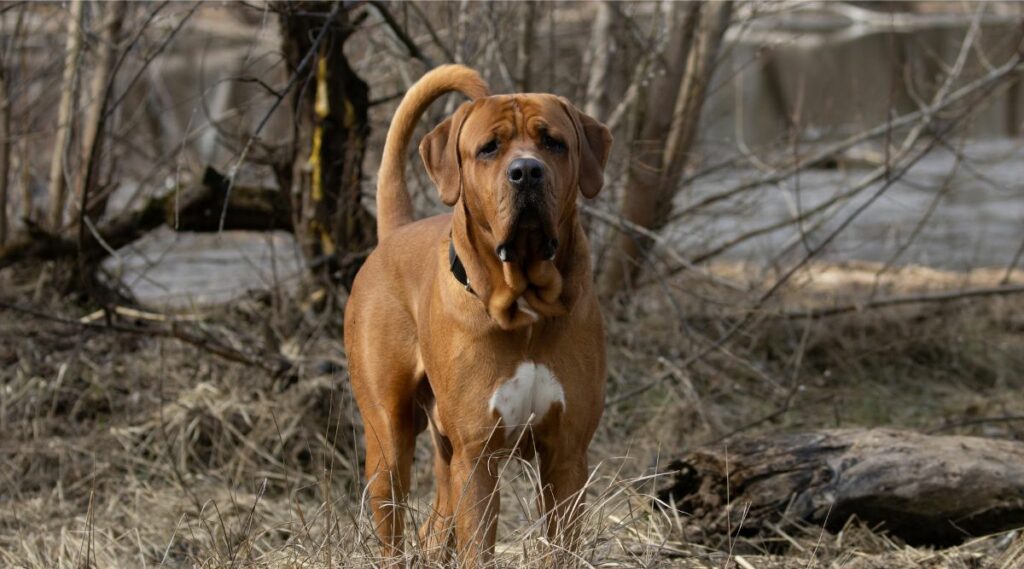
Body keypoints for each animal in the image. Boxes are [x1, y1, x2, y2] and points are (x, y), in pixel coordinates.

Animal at [344, 63, 610, 564]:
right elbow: (477, 548)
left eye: (553, 143)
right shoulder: (478, 458)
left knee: (433, 528)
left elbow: (560, 545)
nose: (526, 172)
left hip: (445, 452)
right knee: (392, 522)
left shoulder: (566, 456)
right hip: (389, 442)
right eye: (489, 148)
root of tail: (395, 233)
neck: (525, 305)